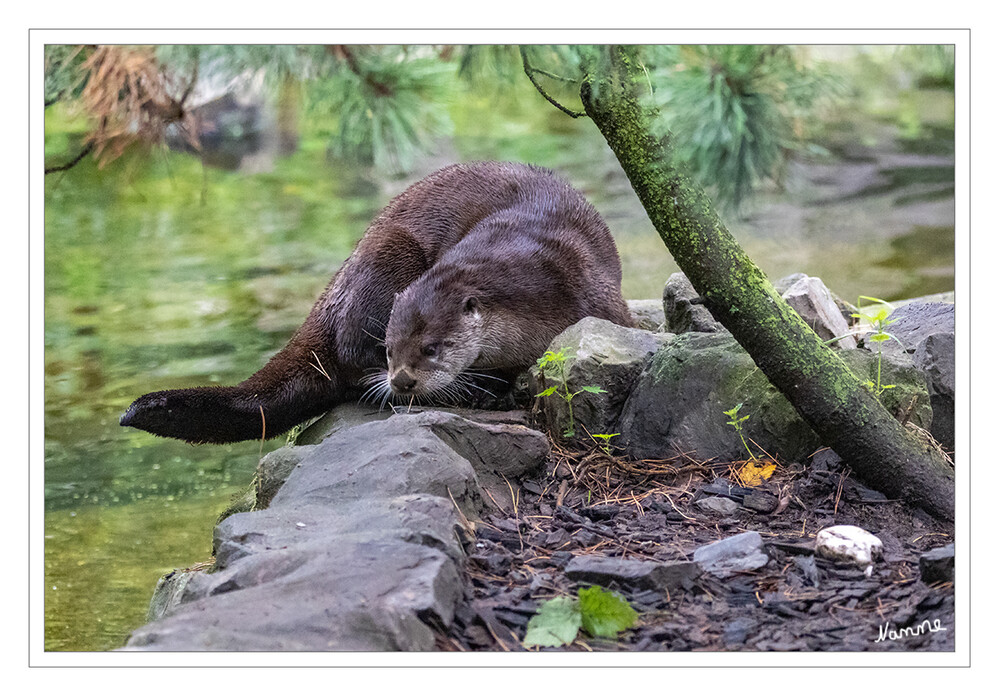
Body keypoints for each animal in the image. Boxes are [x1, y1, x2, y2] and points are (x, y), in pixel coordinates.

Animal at [119, 162, 632, 444]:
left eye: (432, 347)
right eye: (390, 348)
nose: (402, 378)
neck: (541, 282)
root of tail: (333, 291)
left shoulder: (597, 298)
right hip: (387, 252)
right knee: (349, 360)